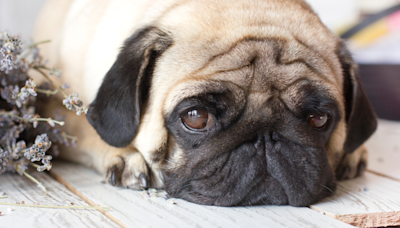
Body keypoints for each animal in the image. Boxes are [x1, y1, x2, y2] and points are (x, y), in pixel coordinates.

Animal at [33, 0, 376, 207]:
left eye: (319, 118)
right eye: (196, 117)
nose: (265, 136)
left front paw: (352, 151)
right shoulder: (54, 108)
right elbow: (82, 127)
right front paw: (126, 156)